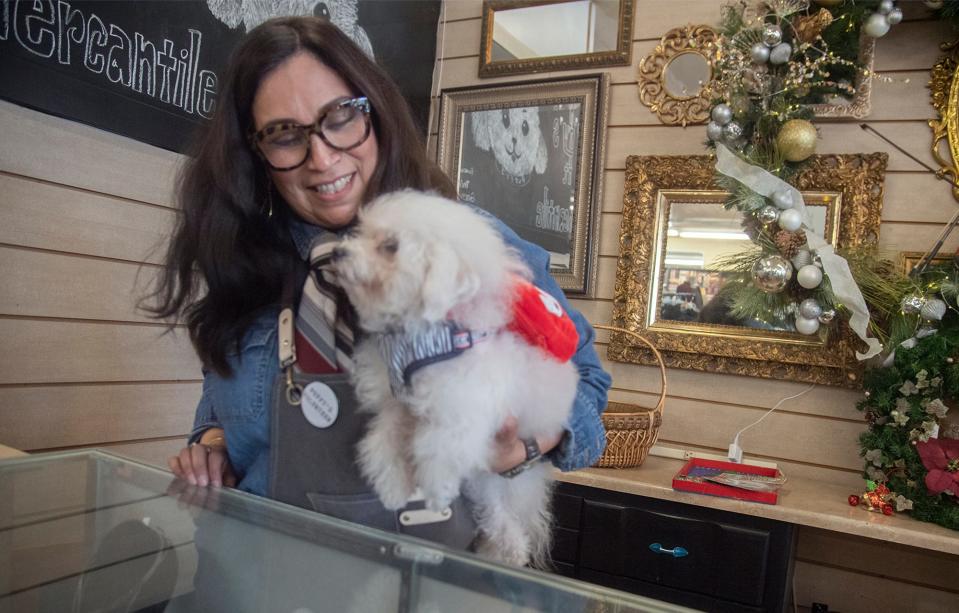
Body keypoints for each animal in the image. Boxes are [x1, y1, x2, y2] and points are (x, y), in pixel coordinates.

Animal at [332, 189, 576, 568]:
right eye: (362, 234)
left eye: (390, 246)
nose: (338, 252)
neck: (421, 336)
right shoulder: (399, 404)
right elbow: (383, 442)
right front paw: (392, 489)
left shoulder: (458, 412)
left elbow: (437, 449)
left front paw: (435, 495)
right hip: (485, 484)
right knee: (499, 520)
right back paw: (504, 552)